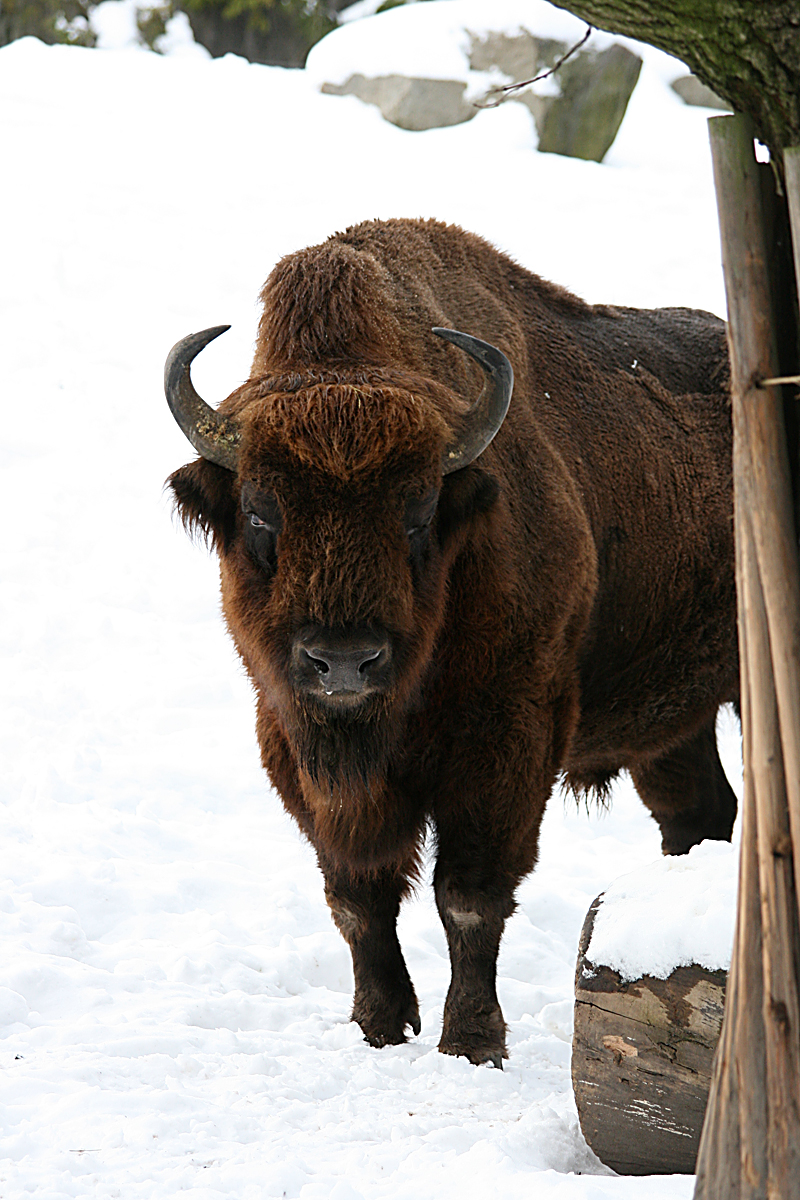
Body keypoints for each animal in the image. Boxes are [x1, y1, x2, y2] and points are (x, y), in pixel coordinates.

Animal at [166, 218, 738, 1067]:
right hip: (674, 725)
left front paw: (472, 1043)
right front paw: (379, 1026)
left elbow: (468, 896)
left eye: (418, 510)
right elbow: (359, 897)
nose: (345, 660)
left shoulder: (505, 741)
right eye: (263, 511)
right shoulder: (298, 749)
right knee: (697, 815)